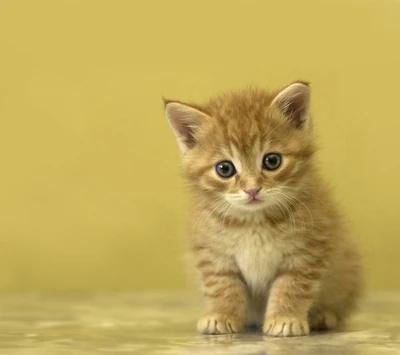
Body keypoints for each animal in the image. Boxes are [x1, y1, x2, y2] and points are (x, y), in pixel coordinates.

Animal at [164, 82, 360, 338]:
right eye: (224, 168)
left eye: (272, 161)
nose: (252, 189)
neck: (254, 221)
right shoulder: (213, 254)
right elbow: (222, 285)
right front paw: (222, 315)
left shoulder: (307, 250)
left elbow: (292, 286)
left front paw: (285, 318)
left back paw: (323, 315)